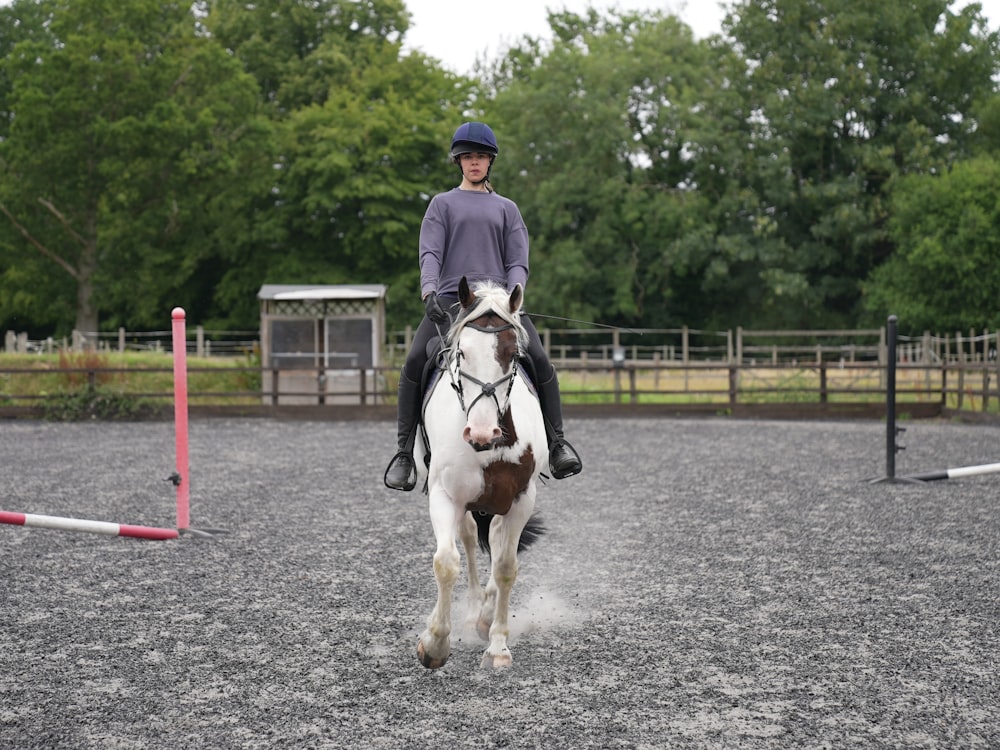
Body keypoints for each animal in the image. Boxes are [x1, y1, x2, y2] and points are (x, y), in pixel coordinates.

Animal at [414, 276, 548, 668]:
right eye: (461, 354)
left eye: (512, 355)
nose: (482, 433)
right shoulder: (445, 495)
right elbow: (446, 562)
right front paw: (435, 644)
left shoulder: (521, 499)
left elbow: (505, 567)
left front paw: (498, 645)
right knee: (471, 539)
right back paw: (474, 610)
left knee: (499, 539)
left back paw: (486, 616)